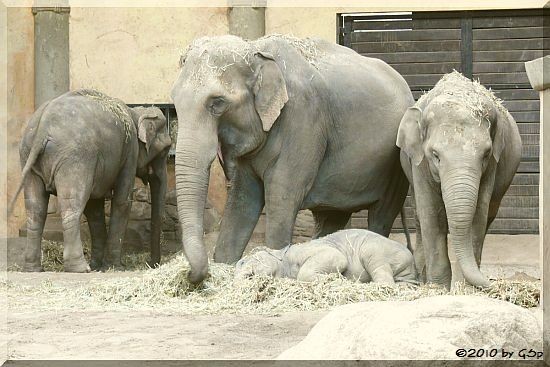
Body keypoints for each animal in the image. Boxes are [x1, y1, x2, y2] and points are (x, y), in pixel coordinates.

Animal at [10, 89, 172, 274]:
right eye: (166, 150)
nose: (152, 264)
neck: (135, 112)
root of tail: (42, 127)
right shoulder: (130, 151)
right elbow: (122, 201)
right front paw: (115, 267)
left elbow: (94, 209)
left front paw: (98, 266)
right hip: (75, 159)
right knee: (72, 205)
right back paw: (80, 268)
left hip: (28, 156)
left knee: (35, 209)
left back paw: (33, 269)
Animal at [396, 72, 520, 290]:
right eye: (435, 155)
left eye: (486, 154)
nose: (497, 285)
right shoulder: (419, 163)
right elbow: (431, 215)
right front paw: (438, 289)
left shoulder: (492, 167)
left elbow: (478, 215)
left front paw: (465, 289)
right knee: (420, 217)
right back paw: (420, 279)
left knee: (488, 217)